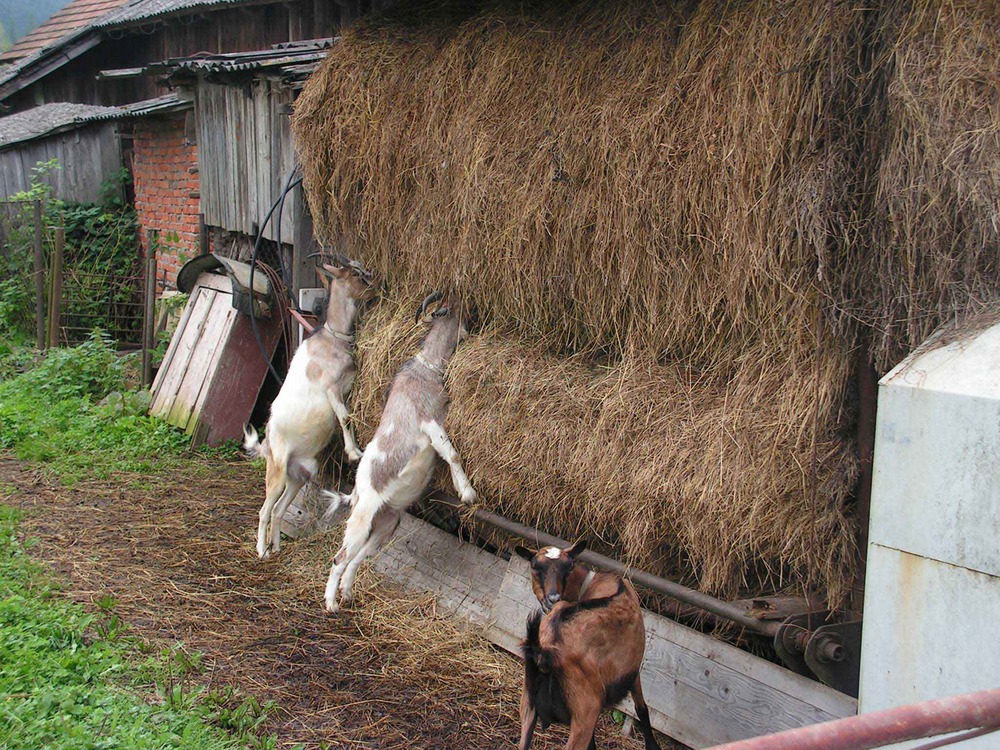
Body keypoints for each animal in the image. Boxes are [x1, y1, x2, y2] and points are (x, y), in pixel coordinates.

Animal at [244, 256, 376, 560]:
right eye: (355, 274)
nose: (376, 288)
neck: (330, 339)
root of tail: (267, 445)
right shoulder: (331, 388)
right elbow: (344, 416)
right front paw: (355, 453)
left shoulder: (348, 384)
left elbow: (348, 415)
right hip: (277, 471)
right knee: (265, 509)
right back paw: (262, 551)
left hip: (299, 476)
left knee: (279, 509)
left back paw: (277, 546)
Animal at [320, 290, 476, 612]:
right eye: (459, 307)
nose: (478, 311)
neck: (425, 369)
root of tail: (357, 492)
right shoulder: (430, 422)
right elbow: (451, 453)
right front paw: (467, 493)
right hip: (361, 520)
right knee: (340, 557)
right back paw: (331, 603)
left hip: (386, 524)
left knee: (358, 558)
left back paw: (348, 593)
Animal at [516, 544, 656, 750]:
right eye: (535, 566)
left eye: (568, 566)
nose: (553, 598)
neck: (590, 584)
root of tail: (544, 652)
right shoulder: (632, 672)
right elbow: (642, 709)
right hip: (585, 713)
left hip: (528, 703)